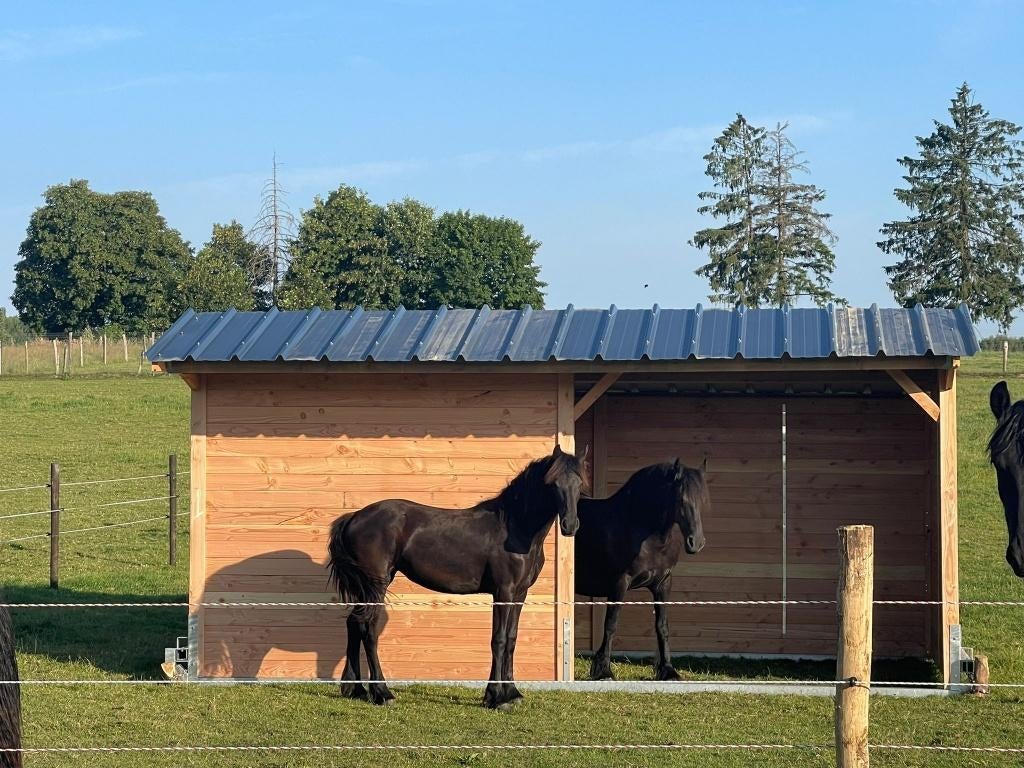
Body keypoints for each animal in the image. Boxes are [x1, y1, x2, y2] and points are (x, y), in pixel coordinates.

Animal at [327, 444, 587, 710]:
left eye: (579, 483)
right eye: (553, 483)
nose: (570, 525)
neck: (514, 529)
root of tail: (353, 517)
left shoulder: (519, 593)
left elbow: (511, 639)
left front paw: (510, 693)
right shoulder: (503, 591)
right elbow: (499, 639)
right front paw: (497, 698)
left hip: (368, 586)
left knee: (354, 623)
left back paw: (355, 689)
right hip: (375, 585)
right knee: (368, 629)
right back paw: (382, 692)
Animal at [574, 459, 708, 681]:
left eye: (703, 500)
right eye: (681, 499)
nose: (695, 543)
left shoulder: (663, 584)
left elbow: (662, 626)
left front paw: (668, 670)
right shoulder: (619, 583)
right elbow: (611, 624)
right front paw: (604, 671)